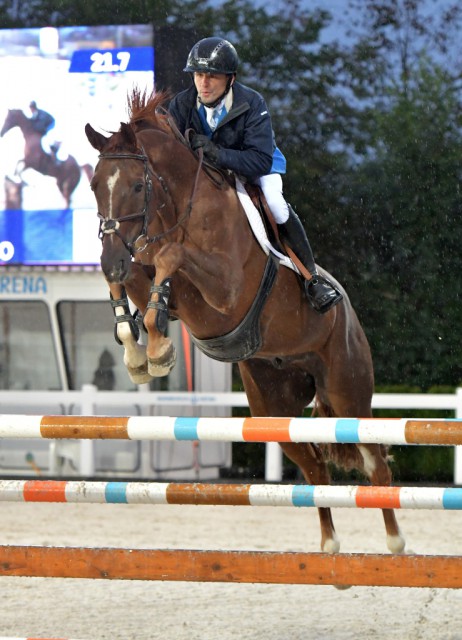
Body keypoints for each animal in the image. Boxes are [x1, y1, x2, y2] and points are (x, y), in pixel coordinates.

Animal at [85, 87, 404, 556]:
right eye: (94, 185)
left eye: (138, 185)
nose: (110, 260)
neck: (180, 206)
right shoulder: (148, 274)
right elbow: (139, 285)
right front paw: (140, 353)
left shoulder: (227, 291)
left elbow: (172, 256)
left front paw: (159, 350)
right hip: (273, 405)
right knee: (314, 467)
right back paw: (329, 546)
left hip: (347, 390)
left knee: (375, 460)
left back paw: (396, 543)